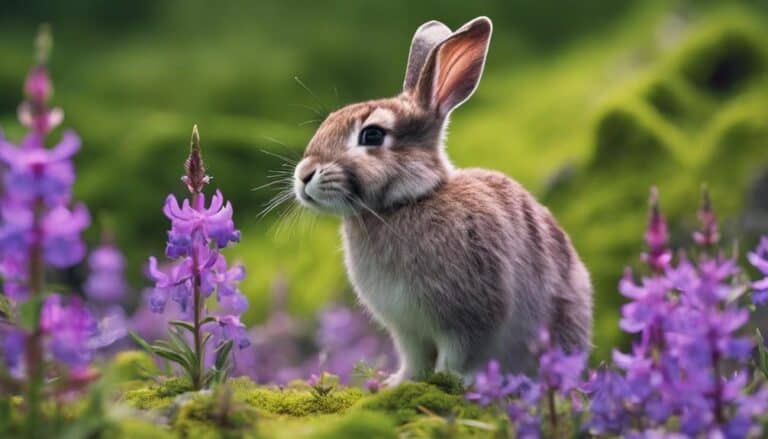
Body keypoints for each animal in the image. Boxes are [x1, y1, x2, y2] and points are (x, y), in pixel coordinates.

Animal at [292, 16, 593, 386]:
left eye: (372, 135)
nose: (304, 175)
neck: (405, 202)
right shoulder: (406, 328)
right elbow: (414, 358)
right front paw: (397, 383)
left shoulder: (468, 316)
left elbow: (457, 355)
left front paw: (448, 381)